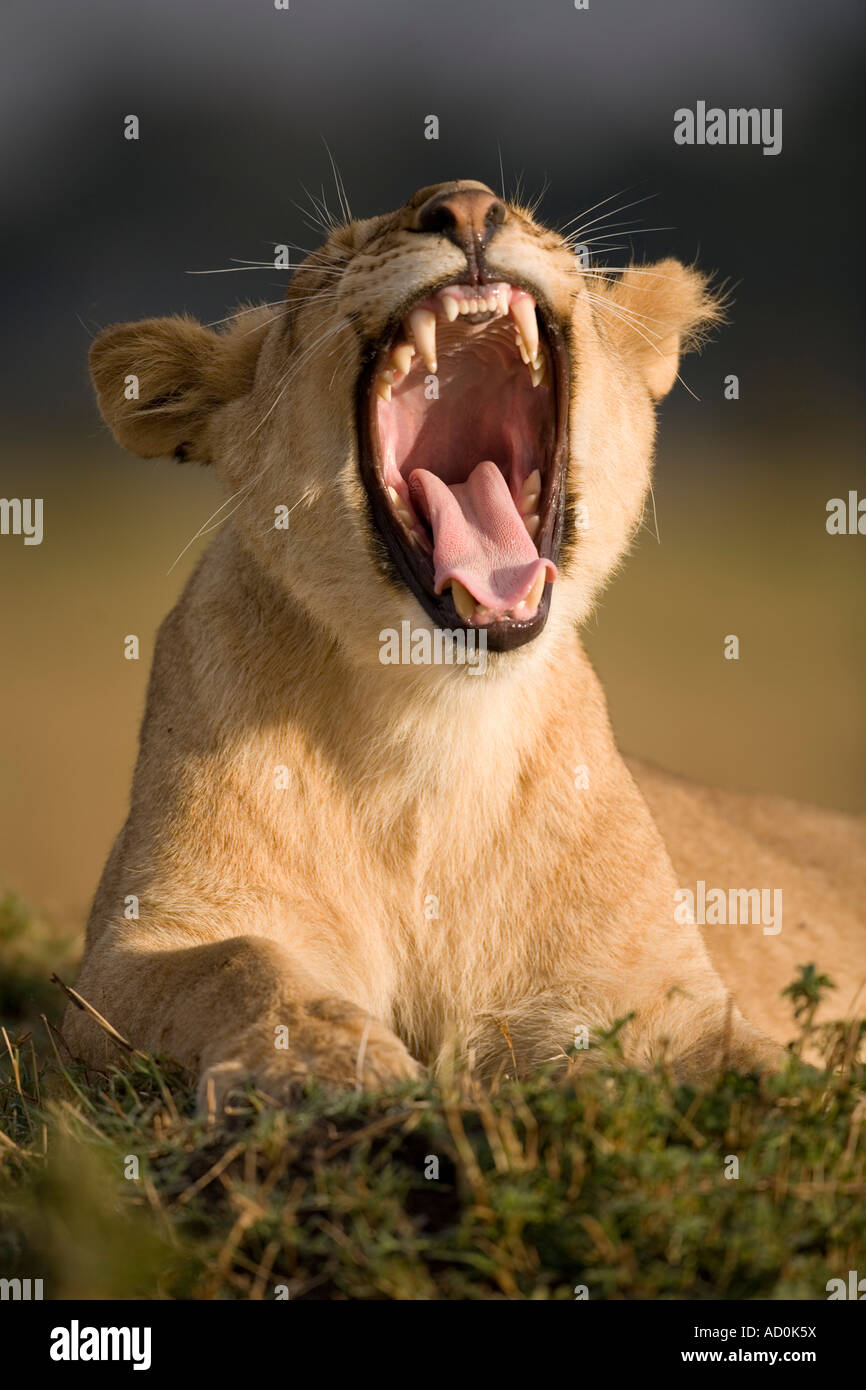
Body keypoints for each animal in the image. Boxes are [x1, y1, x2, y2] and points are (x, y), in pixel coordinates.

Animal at [66, 179, 866, 1105]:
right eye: (323, 268)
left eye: (545, 229)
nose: (467, 204)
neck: (431, 726)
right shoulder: (130, 950)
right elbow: (240, 966)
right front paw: (328, 1063)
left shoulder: (654, 998)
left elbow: (778, 1075)